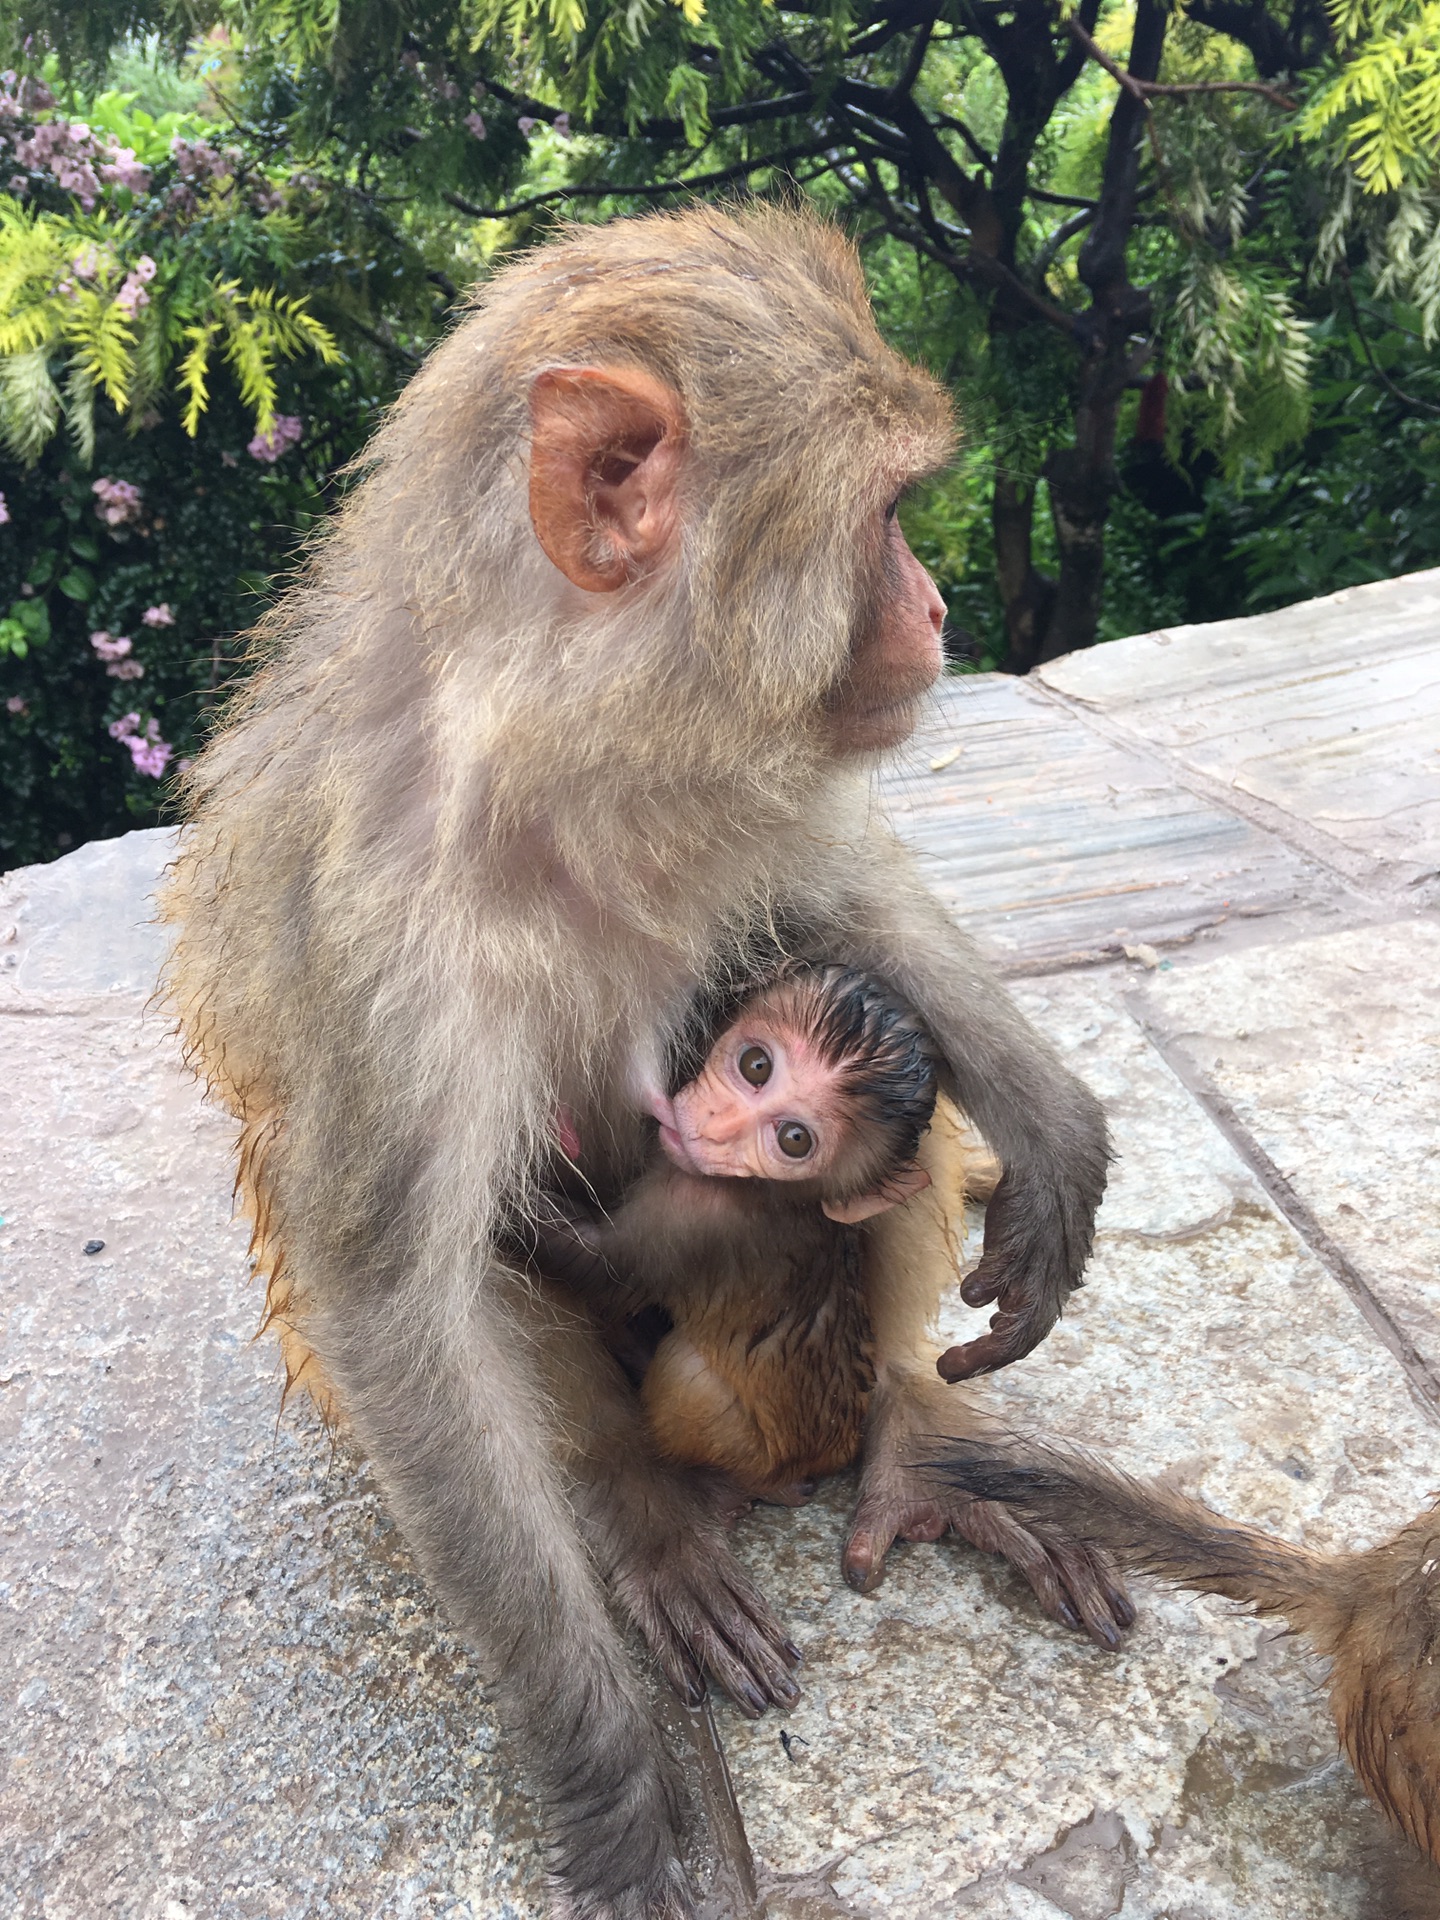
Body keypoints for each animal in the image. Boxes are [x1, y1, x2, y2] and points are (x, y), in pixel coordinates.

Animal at [545, 967, 940, 1505]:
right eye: (756, 1065)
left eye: (794, 1140)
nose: (718, 1126)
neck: (770, 1193)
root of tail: (836, 1453)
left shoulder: (699, 1216)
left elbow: (601, 1265)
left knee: (691, 1374)